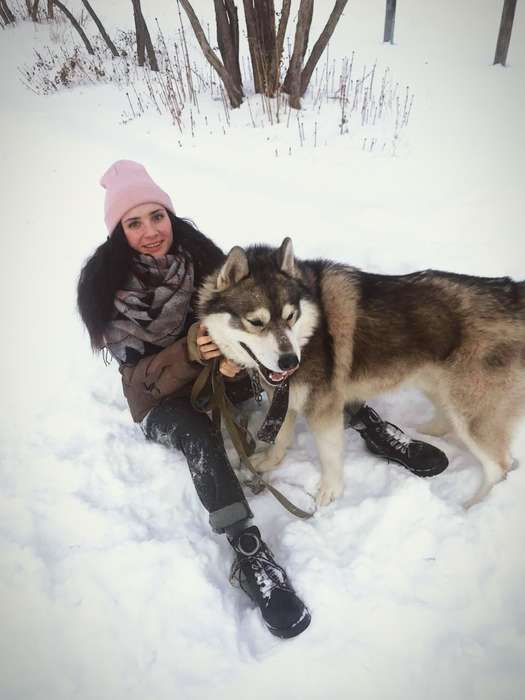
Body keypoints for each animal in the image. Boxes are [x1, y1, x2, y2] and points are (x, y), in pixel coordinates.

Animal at [198, 241, 524, 508]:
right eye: (256, 322)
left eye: (291, 316)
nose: (290, 361)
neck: (310, 332)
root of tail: (512, 293)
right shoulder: (286, 399)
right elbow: (280, 440)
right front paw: (267, 462)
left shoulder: (324, 409)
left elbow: (329, 456)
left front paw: (329, 492)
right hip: (439, 385)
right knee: (449, 419)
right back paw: (428, 430)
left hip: (472, 410)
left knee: (499, 466)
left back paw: (474, 507)